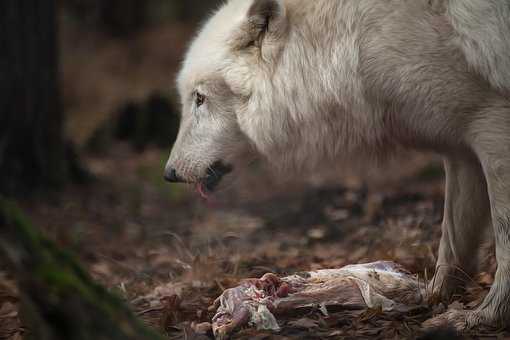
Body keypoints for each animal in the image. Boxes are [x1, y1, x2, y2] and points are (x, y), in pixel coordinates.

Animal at [166, 0, 510, 330]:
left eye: (199, 98)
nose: (168, 173)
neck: (351, 41)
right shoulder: (461, 148)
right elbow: (452, 241)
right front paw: (433, 296)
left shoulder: (492, 124)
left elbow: (503, 240)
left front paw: (485, 315)